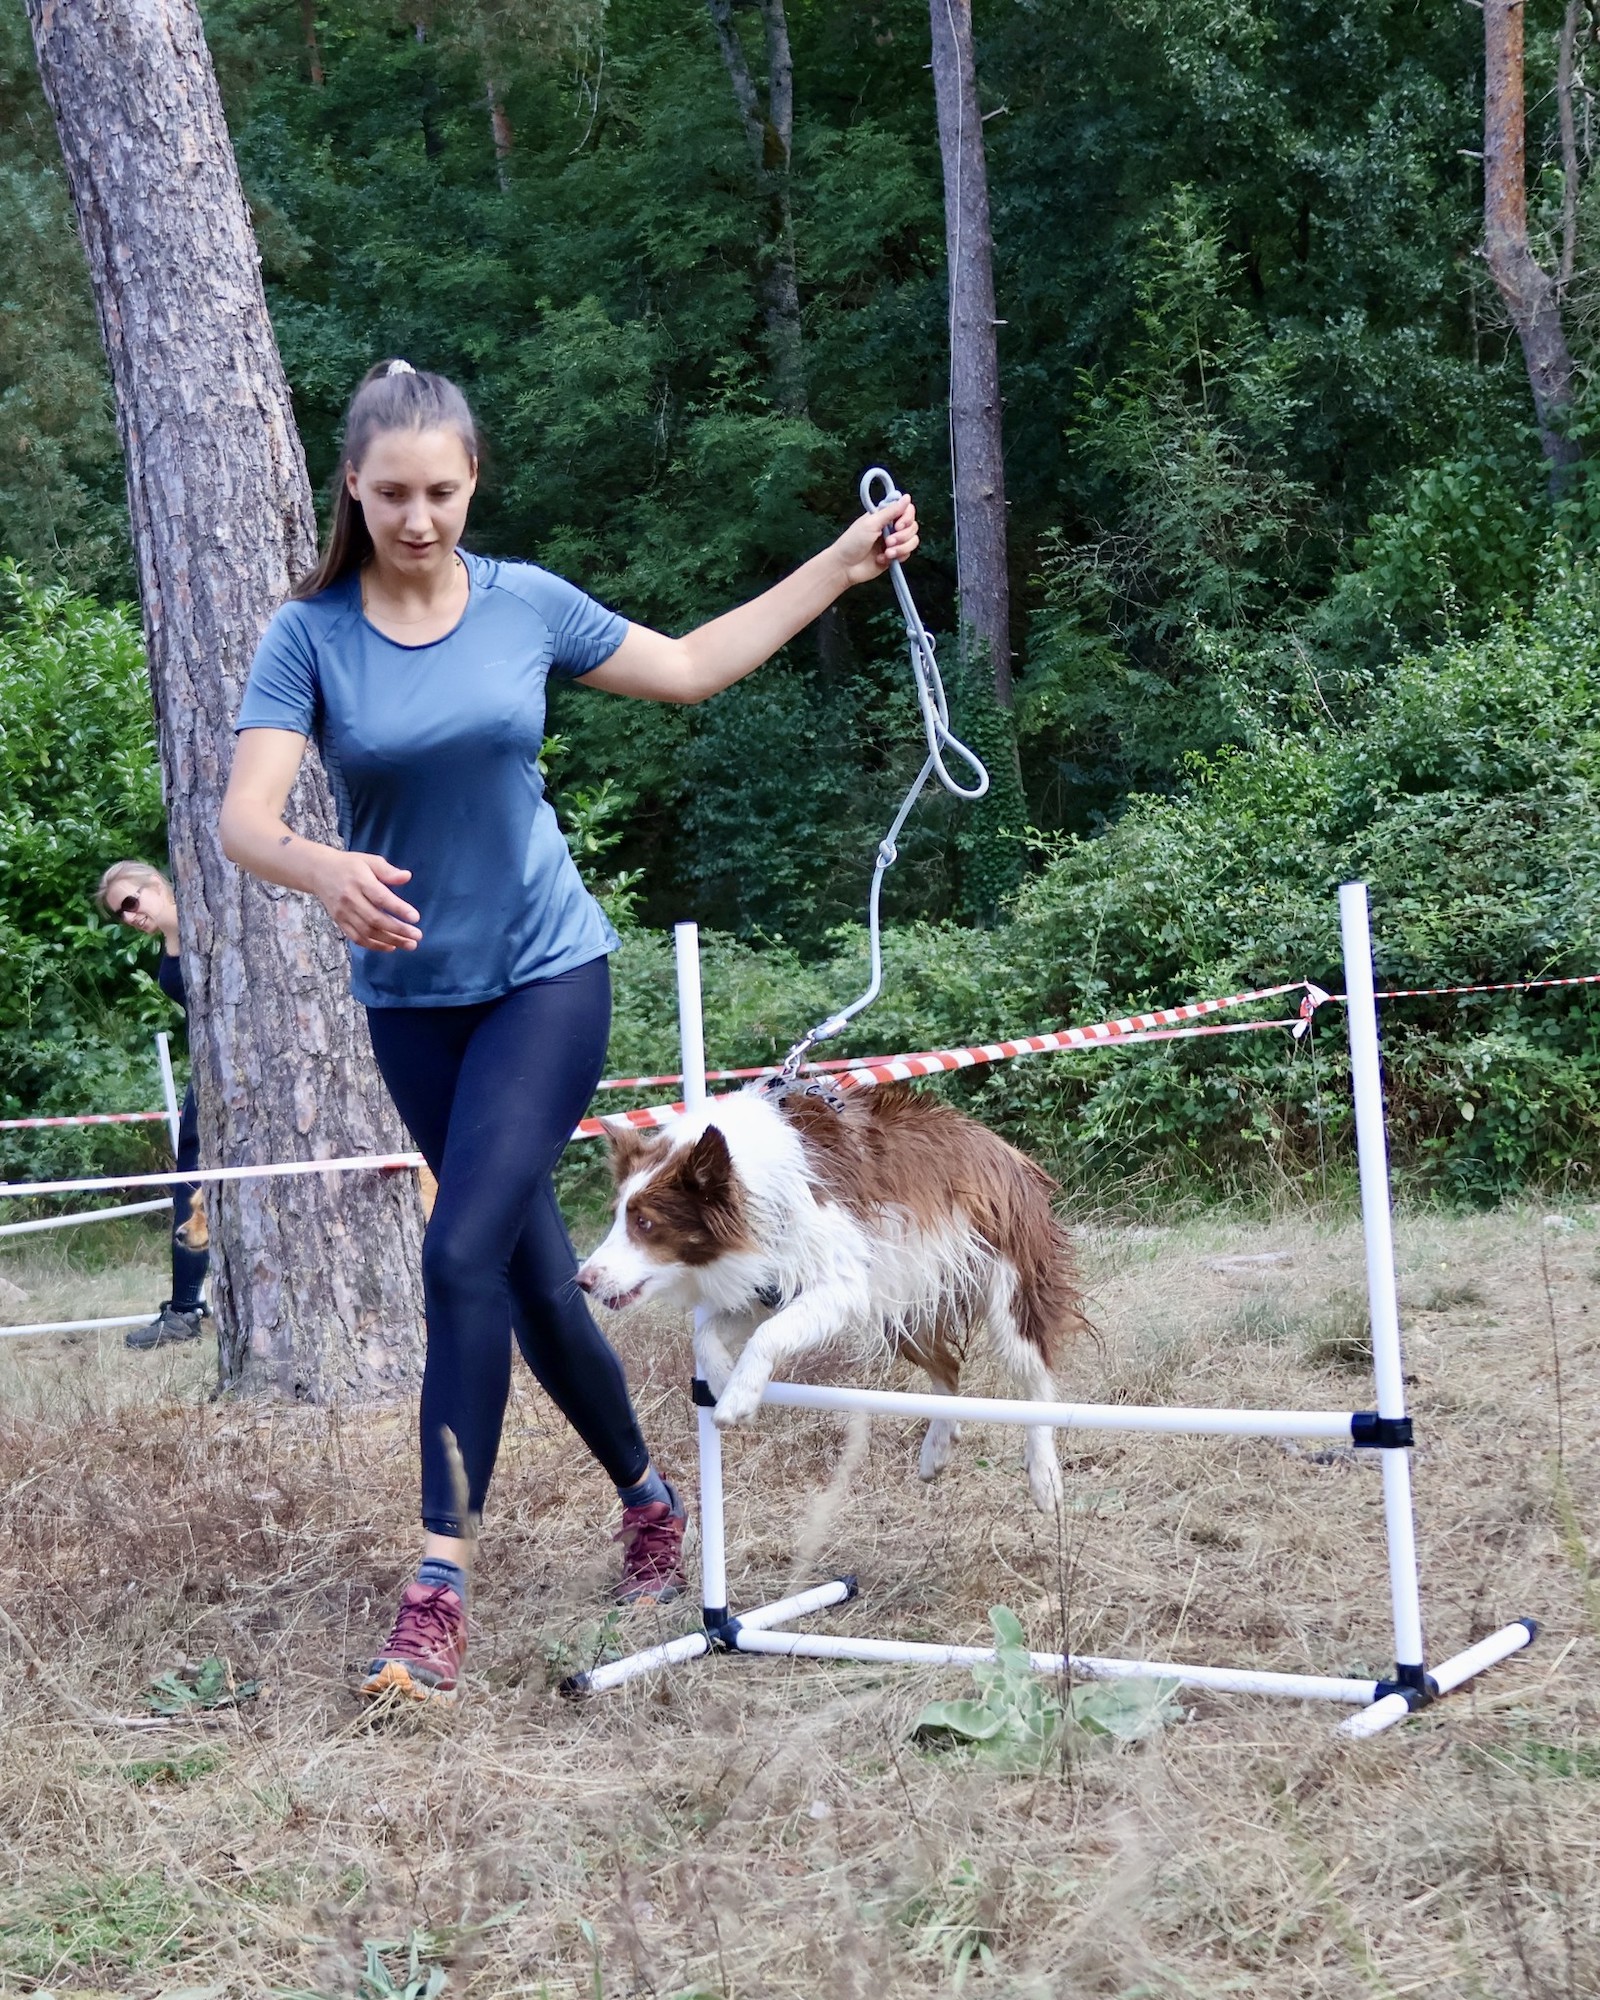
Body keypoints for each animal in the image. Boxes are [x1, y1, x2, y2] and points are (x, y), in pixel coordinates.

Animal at [575, 1082, 1086, 1512]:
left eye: (645, 1223)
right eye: (617, 1215)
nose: (583, 1280)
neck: (755, 1187)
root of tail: (1006, 1150)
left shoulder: (842, 1286)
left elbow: (768, 1335)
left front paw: (738, 1398)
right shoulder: (766, 1285)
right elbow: (708, 1335)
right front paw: (722, 1381)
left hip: (1007, 1291)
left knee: (1036, 1385)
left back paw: (1044, 1477)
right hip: (903, 1300)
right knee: (948, 1369)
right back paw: (937, 1446)